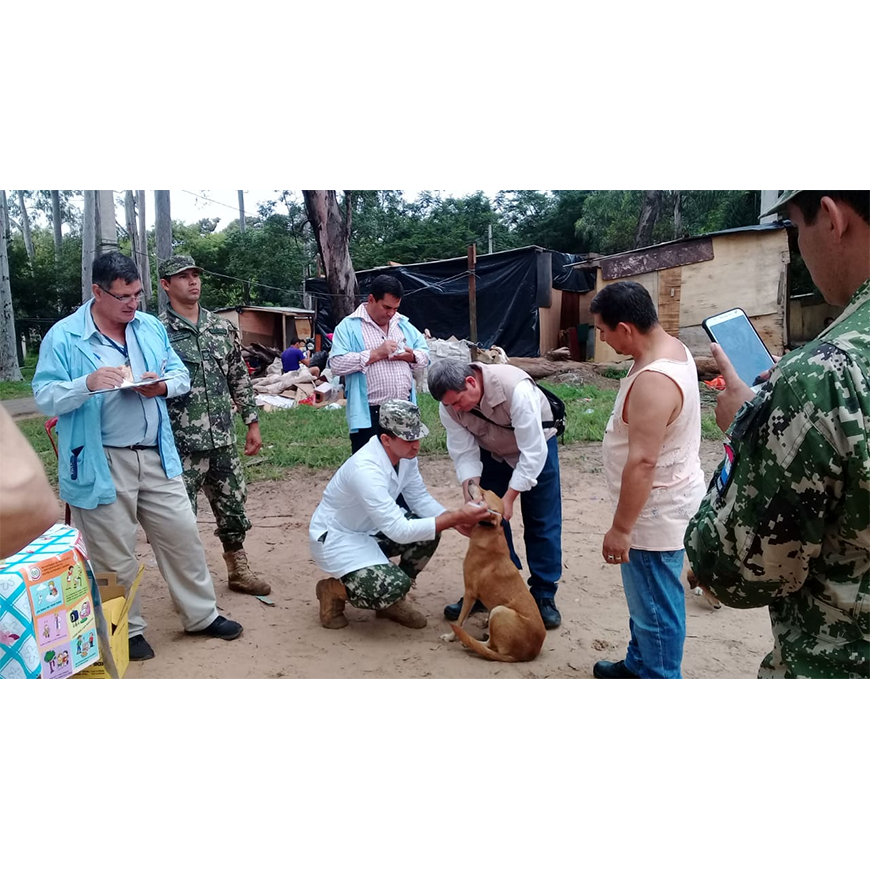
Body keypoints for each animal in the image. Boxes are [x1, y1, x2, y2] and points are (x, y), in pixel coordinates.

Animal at [449, 483, 546, 662]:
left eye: (483, 496)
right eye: (485, 489)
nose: (471, 481)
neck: (491, 532)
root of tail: (523, 656)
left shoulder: (470, 593)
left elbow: (460, 620)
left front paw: (450, 636)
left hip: (499, 610)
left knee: (489, 646)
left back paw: (469, 641)